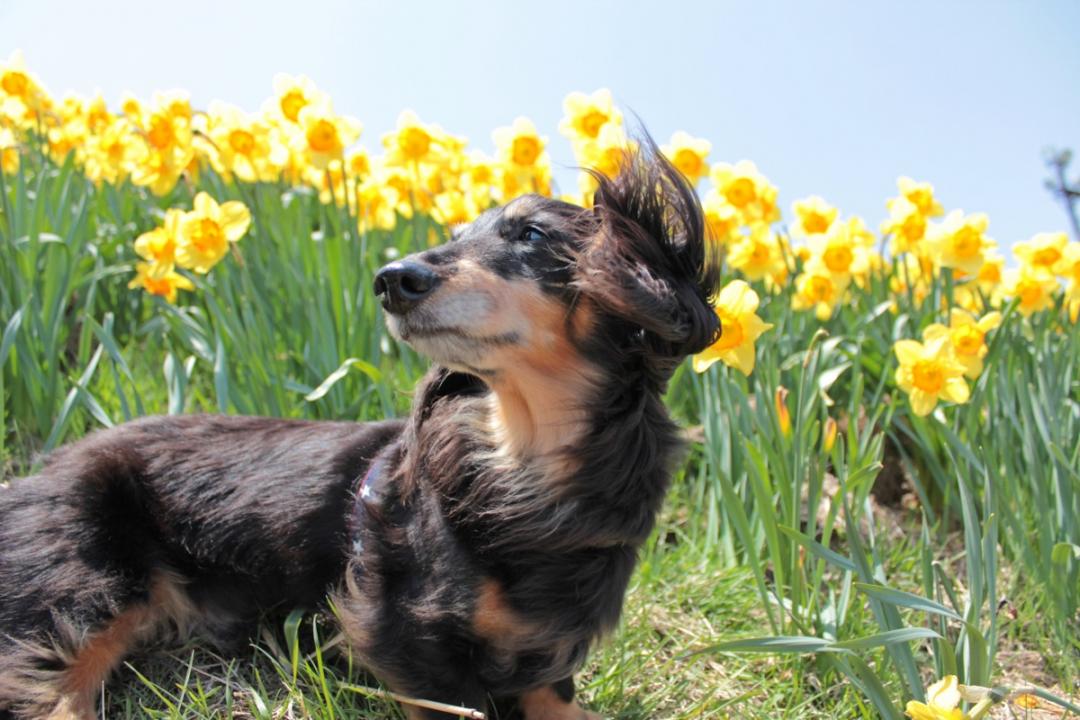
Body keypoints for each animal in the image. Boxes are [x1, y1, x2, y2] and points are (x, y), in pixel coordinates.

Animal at [2, 136, 725, 720]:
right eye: (457, 234)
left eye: (533, 236)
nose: (391, 279)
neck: (520, 466)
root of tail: (42, 473)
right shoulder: (404, 634)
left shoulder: (551, 639)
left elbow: (554, 690)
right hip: (87, 586)